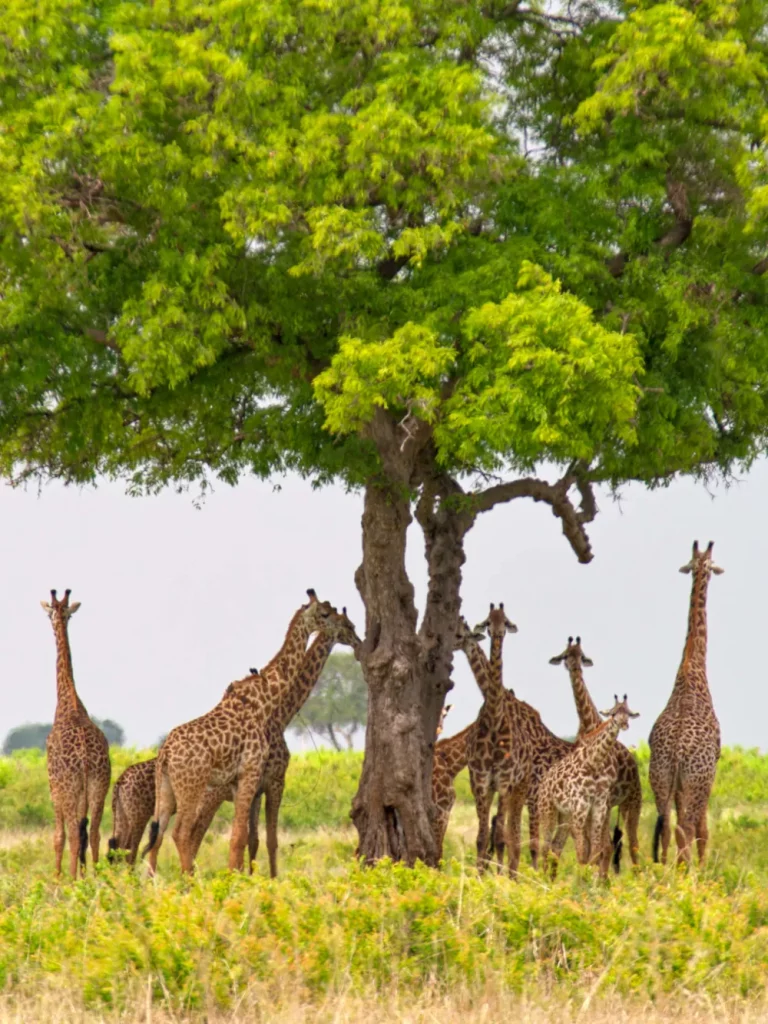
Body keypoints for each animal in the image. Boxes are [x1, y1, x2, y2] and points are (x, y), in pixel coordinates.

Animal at [143, 589, 336, 874]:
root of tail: (164, 754)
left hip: (165, 790)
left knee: (157, 836)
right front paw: (238, 878)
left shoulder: (239, 782)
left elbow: (242, 836)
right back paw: (190, 879)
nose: (343, 626)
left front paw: (238, 875)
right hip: (191, 788)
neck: (265, 700)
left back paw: (154, 881)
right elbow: (241, 837)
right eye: (325, 613)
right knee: (181, 833)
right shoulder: (252, 772)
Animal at [539, 695, 640, 879]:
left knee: (556, 846)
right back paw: (541, 878)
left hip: (564, 815)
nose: (623, 724)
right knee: (545, 846)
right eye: (613, 713)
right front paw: (582, 878)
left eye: (628, 714)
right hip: (547, 809)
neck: (593, 762)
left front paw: (590, 877)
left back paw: (551, 879)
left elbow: (596, 850)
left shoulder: (599, 806)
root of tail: (544, 782)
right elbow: (581, 852)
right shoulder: (580, 806)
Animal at [549, 636, 643, 871]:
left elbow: (600, 847)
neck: (589, 722)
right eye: (565, 655)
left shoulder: (602, 800)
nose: (574, 667)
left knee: (631, 844)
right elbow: (591, 846)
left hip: (632, 801)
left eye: (582, 655)